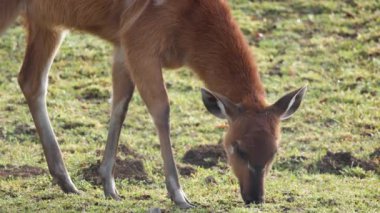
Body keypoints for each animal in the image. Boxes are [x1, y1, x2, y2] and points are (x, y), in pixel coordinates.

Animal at [0, 0, 306, 207]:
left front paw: (109, 187)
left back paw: (67, 182)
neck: (190, 22)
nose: (255, 198)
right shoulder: (142, 47)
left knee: (30, 80)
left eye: (274, 151)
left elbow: (119, 106)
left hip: (47, 25)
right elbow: (161, 110)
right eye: (237, 148)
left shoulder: (123, 49)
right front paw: (180, 196)